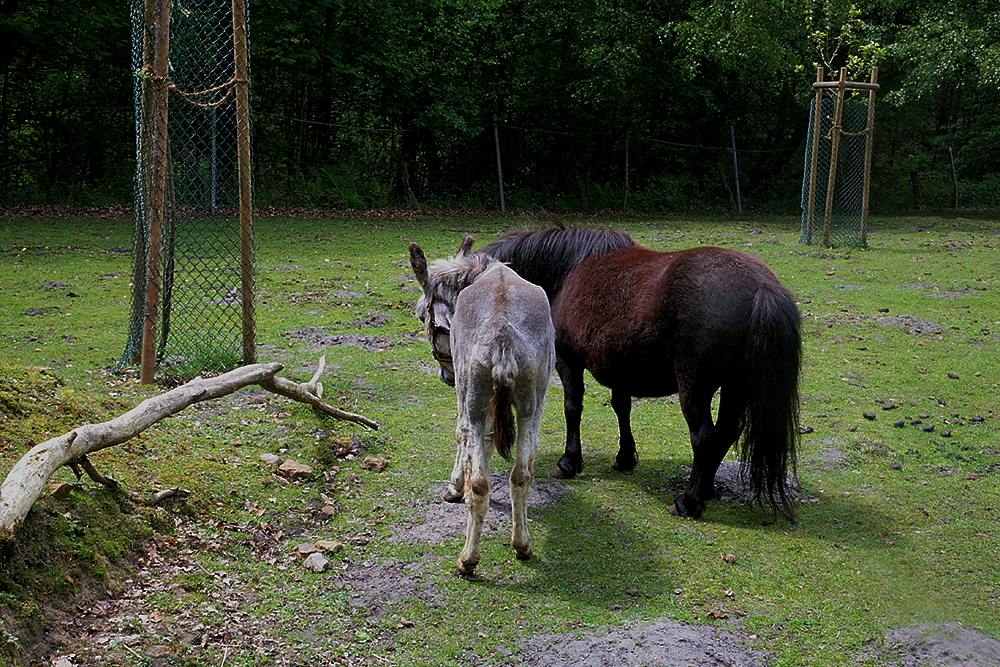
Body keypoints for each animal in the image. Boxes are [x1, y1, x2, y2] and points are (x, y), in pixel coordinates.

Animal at [480, 230, 800, 520]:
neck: (567, 270)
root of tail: (762, 286)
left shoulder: (568, 360)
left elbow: (573, 409)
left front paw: (569, 462)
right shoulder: (619, 367)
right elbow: (622, 408)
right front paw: (624, 457)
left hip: (695, 386)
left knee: (705, 438)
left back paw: (689, 501)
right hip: (736, 386)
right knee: (725, 434)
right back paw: (706, 489)